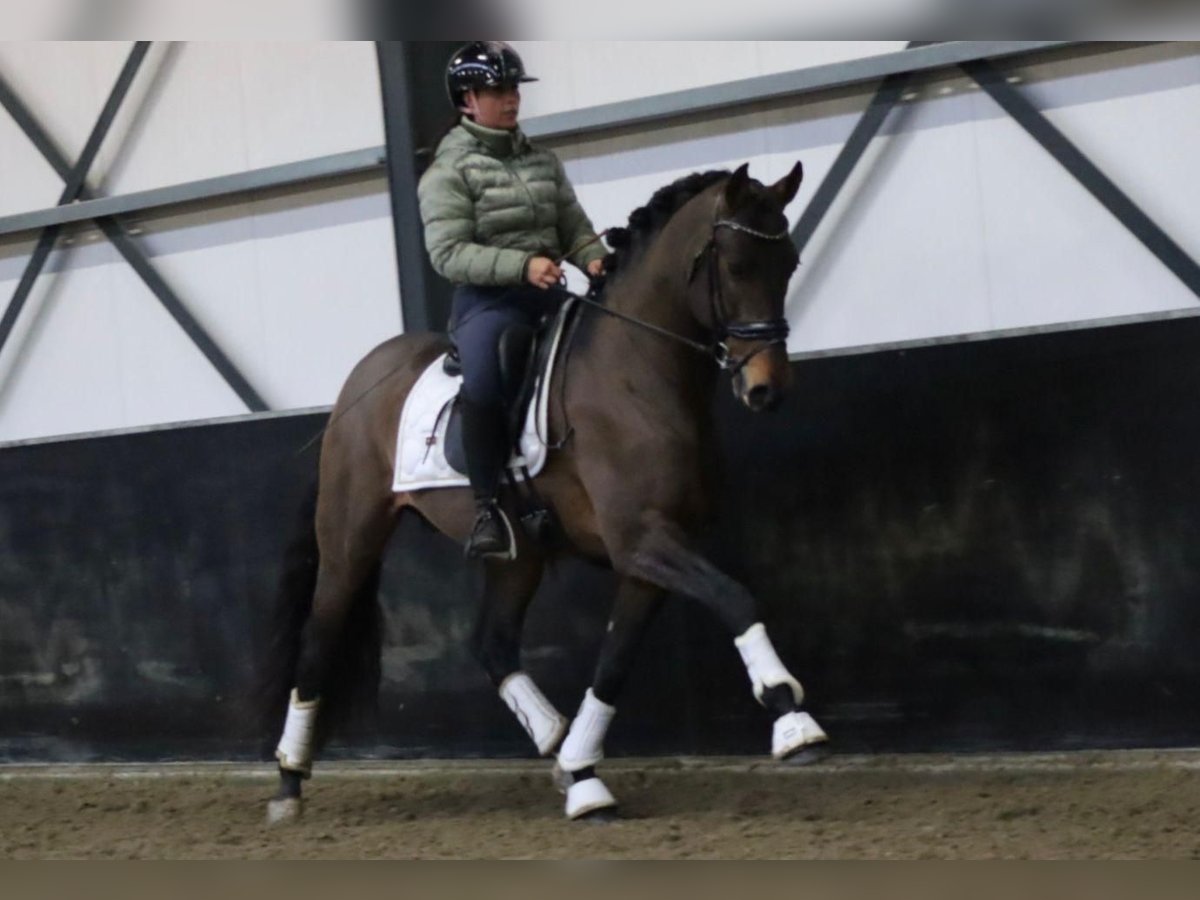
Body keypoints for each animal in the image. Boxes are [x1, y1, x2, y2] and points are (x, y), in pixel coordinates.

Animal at [257, 160, 828, 824]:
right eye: (736, 266)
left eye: (788, 263)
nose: (767, 389)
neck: (635, 375)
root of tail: (357, 384)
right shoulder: (642, 539)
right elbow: (735, 597)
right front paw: (793, 720)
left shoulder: (650, 554)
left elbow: (614, 661)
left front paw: (584, 776)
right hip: (351, 538)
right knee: (318, 641)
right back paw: (288, 782)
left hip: (517, 555)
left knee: (493, 643)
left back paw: (555, 740)